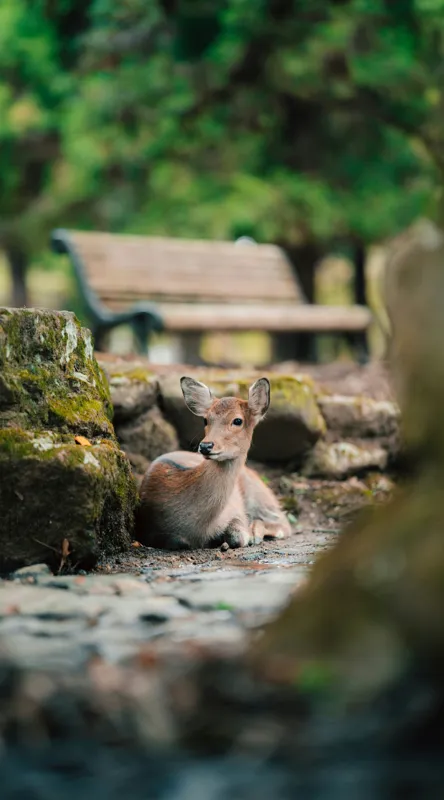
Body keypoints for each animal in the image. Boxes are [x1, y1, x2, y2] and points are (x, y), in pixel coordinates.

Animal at [137, 376, 292, 550]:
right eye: (205, 419)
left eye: (238, 420)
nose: (205, 446)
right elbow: (176, 541)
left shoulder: (236, 510)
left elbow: (238, 537)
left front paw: (243, 536)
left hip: (259, 494)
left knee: (283, 522)